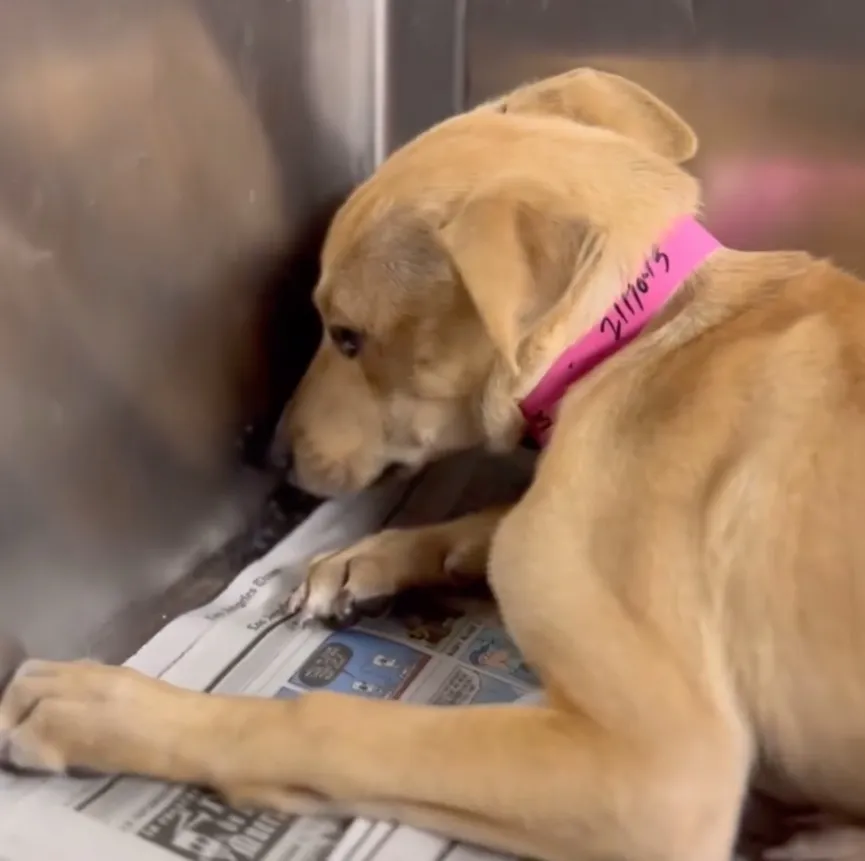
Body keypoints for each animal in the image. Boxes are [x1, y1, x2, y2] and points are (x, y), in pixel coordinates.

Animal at [1, 72, 864, 860]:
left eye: (347, 335)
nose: (270, 455)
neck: (630, 336)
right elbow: (488, 523)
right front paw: (368, 560)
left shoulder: (659, 770)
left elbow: (326, 722)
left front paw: (101, 708)